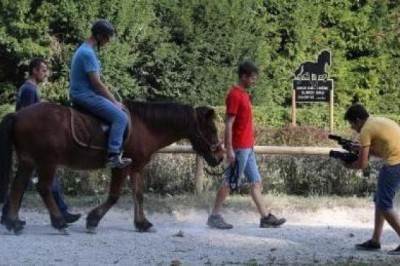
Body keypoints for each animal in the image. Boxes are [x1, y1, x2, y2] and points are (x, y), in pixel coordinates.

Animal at [0, 101, 225, 234]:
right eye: (212, 129)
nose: (220, 156)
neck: (145, 126)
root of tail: (19, 115)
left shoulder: (136, 168)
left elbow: (138, 195)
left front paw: (142, 223)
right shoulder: (121, 168)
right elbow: (114, 196)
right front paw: (92, 220)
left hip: (29, 161)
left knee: (18, 187)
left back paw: (14, 222)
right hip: (47, 161)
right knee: (43, 188)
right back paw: (58, 221)